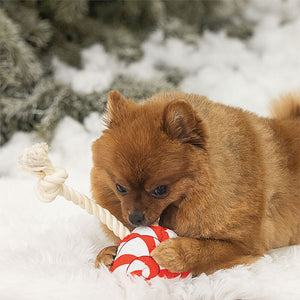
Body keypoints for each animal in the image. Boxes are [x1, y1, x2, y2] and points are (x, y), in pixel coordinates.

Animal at [91, 90, 300, 276]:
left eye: (160, 189)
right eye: (120, 188)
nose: (135, 218)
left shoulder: (244, 245)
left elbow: (206, 249)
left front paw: (174, 253)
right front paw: (108, 253)